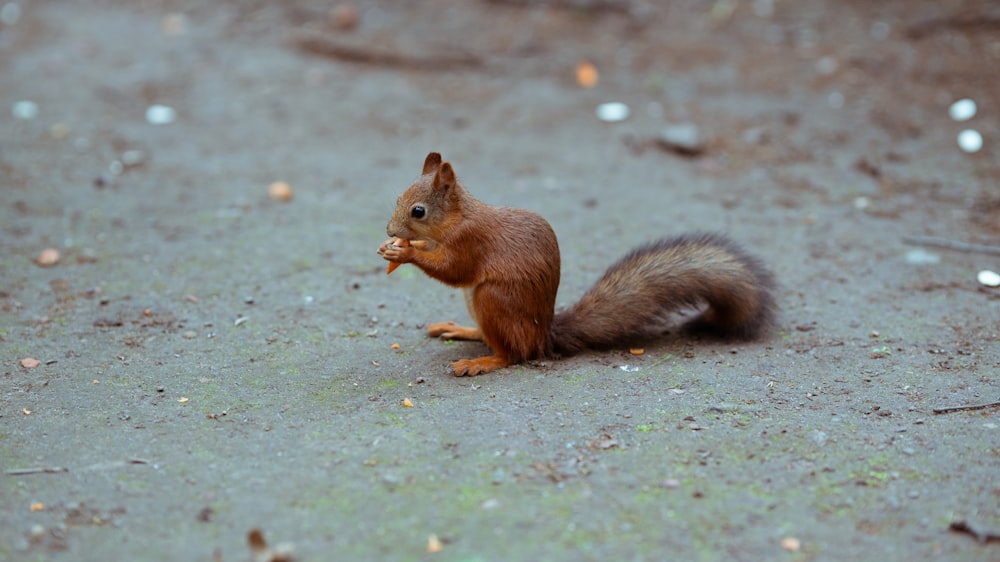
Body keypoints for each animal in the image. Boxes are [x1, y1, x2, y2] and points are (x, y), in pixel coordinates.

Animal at [378, 152, 776, 376]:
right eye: (397, 199)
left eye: (418, 211)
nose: (390, 229)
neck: (458, 218)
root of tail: (543, 336)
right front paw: (396, 246)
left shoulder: (471, 241)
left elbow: (454, 270)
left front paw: (405, 252)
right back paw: (463, 330)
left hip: (494, 298)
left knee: (514, 354)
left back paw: (482, 362)